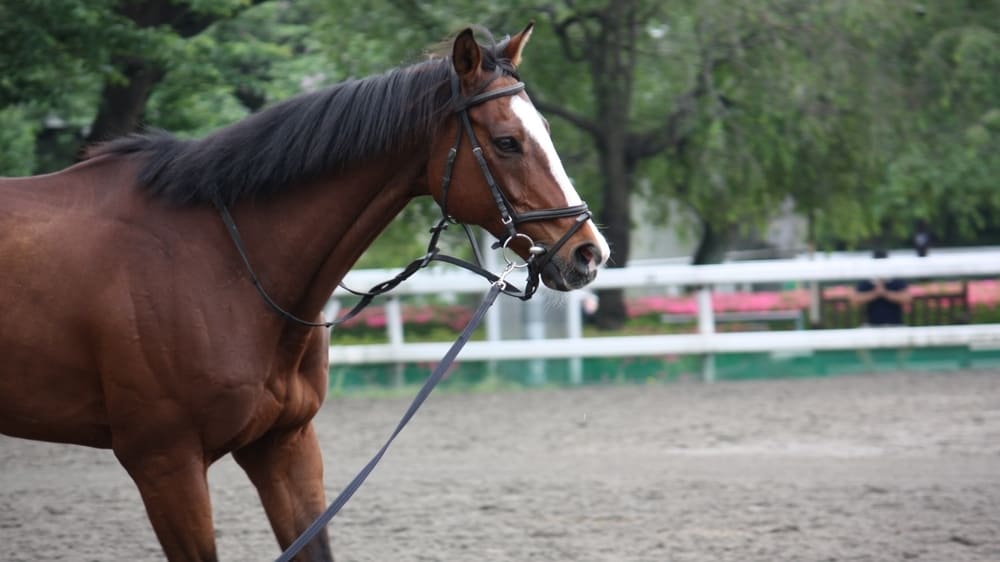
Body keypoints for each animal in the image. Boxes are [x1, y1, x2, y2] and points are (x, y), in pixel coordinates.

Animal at [0, 23, 609, 561]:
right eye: (507, 142)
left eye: (546, 132)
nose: (589, 253)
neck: (221, 262)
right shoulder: (165, 464)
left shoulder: (285, 447)